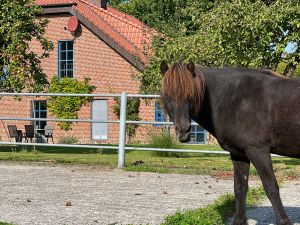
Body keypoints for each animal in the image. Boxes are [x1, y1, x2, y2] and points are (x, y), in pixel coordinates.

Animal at [161, 60, 300, 224]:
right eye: (167, 96)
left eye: (190, 95)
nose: (183, 131)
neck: (234, 98)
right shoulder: (239, 153)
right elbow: (240, 187)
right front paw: (239, 221)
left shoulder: (258, 151)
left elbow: (271, 187)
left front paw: (284, 221)